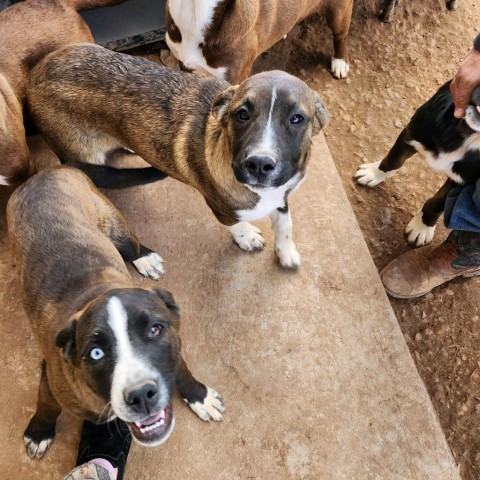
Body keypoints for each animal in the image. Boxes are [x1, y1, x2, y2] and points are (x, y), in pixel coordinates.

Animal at [7, 165, 225, 462]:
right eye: (96, 353)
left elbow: (183, 371)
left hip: (112, 221)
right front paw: (39, 431)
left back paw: (144, 256)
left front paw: (200, 397)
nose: (141, 394)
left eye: (154, 330)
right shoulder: (51, 375)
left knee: (130, 244)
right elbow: (46, 403)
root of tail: (44, 172)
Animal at [352, 80, 480, 246]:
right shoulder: (412, 134)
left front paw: (422, 227)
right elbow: (394, 160)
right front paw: (374, 173)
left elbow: (438, 203)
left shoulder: (465, 181)